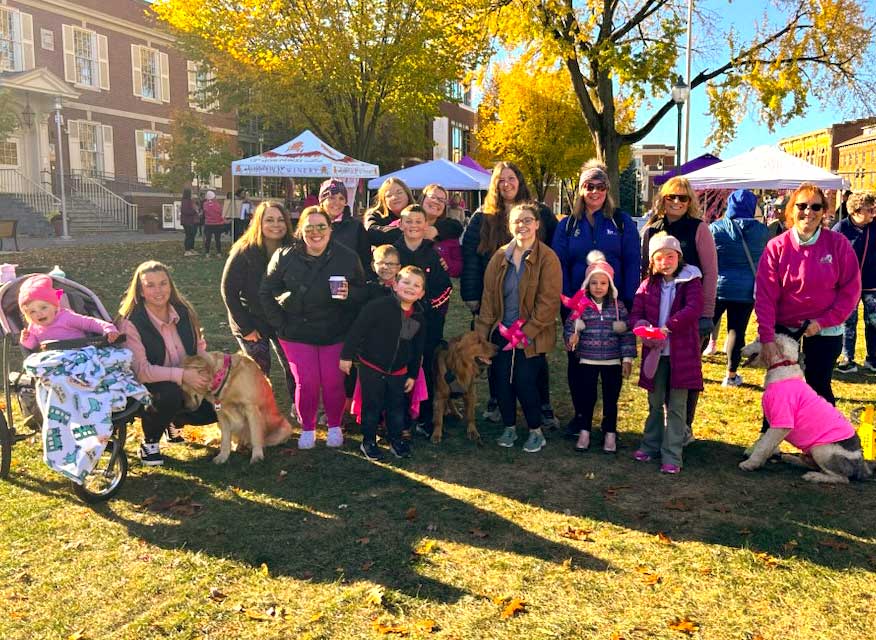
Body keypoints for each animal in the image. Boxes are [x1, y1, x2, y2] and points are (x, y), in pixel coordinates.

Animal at [740, 336, 868, 484]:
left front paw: (750, 463)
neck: (782, 369)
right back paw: (793, 459)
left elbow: (764, 445)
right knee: (813, 464)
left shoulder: (781, 421)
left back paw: (814, 476)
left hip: (822, 449)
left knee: (841, 478)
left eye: (758, 340)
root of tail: (860, 463)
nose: (740, 350)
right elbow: (767, 442)